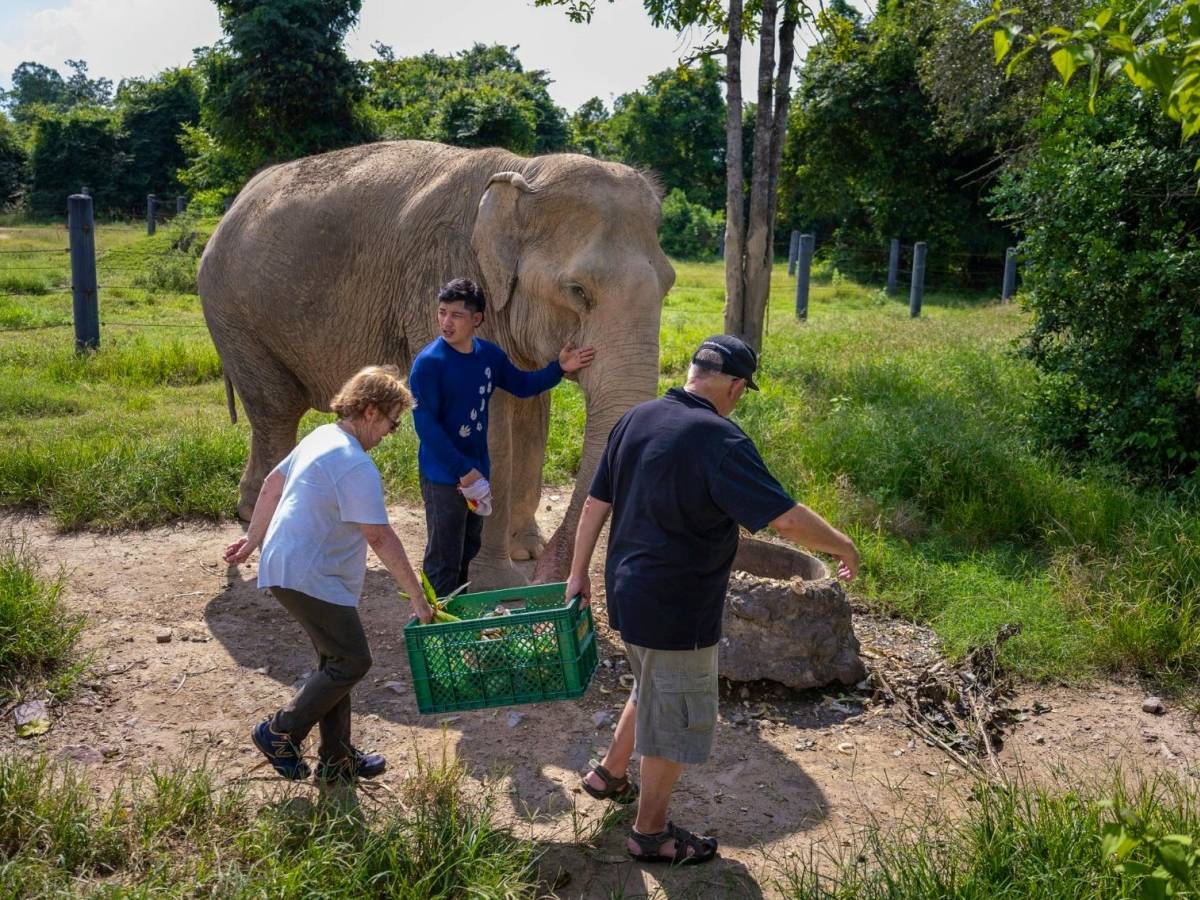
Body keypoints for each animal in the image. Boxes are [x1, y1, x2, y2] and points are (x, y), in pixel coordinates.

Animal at [198, 140, 675, 589]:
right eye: (577, 291)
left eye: (668, 283)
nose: (551, 580)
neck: (524, 169)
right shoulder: (441, 272)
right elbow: (494, 427)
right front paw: (503, 586)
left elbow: (530, 408)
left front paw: (526, 552)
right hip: (232, 313)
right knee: (275, 409)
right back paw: (261, 515)